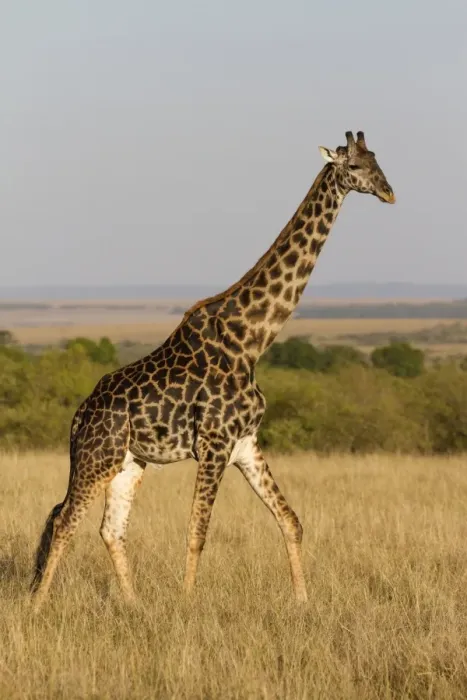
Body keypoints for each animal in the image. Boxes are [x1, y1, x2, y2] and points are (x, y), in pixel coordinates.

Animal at [31, 131, 395, 611]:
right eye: (353, 166)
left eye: (377, 161)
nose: (389, 192)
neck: (252, 340)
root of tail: (79, 416)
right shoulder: (215, 444)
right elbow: (197, 531)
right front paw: (187, 603)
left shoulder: (245, 445)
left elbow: (291, 520)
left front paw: (303, 602)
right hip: (98, 455)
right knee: (64, 519)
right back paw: (37, 605)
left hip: (129, 461)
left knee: (109, 528)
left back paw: (134, 604)